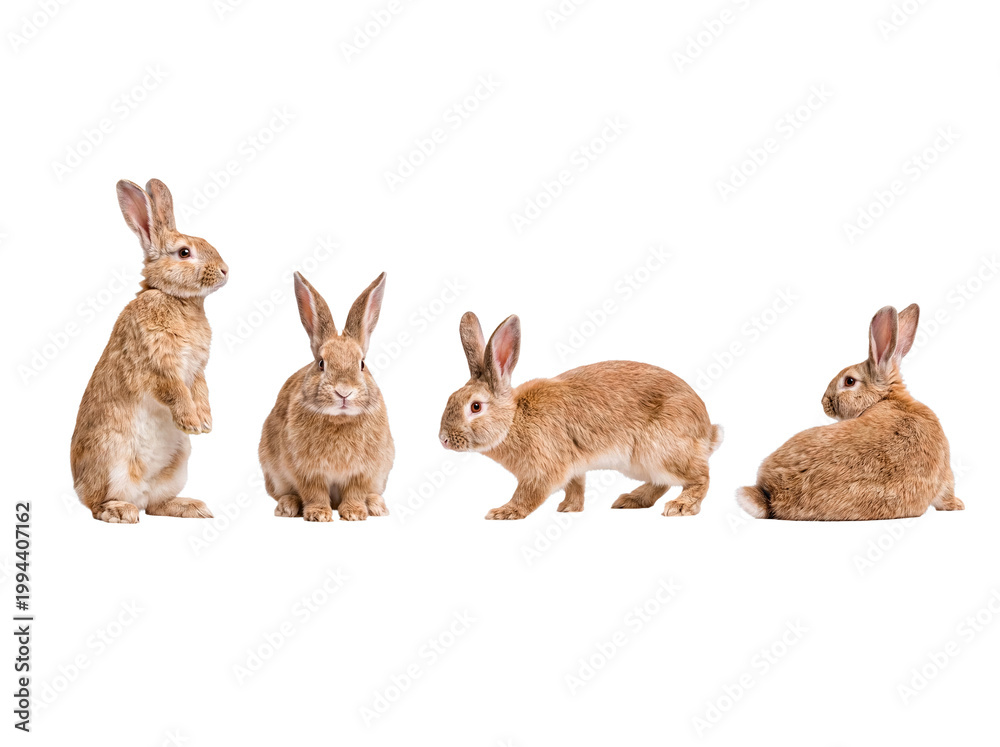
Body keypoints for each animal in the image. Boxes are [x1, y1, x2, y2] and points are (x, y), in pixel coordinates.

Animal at [70, 179, 228, 523]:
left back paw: (192, 507)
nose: (225, 270)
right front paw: (192, 422)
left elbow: (200, 391)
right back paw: (121, 511)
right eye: (184, 252)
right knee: (98, 504)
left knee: (156, 505)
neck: (174, 298)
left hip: (177, 464)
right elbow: (175, 391)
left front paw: (206, 422)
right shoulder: (157, 365)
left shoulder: (197, 370)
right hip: (111, 458)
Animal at [259, 272, 394, 522]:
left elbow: (355, 491)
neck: (339, 419)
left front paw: (354, 513)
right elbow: (314, 492)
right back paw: (287, 507)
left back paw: (376, 506)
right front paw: (318, 514)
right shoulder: (307, 471)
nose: (344, 391)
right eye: (321, 363)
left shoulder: (362, 472)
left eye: (362, 364)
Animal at [438, 312, 723, 519]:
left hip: (658, 450)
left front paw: (504, 512)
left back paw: (679, 507)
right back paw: (630, 500)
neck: (514, 420)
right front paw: (569, 508)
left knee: (701, 477)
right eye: (451, 397)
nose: (443, 439)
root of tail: (707, 431)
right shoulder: (573, 467)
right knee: (662, 483)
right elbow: (575, 487)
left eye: (475, 407)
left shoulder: (543, 468)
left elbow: (529, 494)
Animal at [736, 304, 964, 521]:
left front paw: (958, 505)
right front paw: (958, 505)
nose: (824, 402)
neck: (888, 398)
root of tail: (771, 495)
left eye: (849, 381)